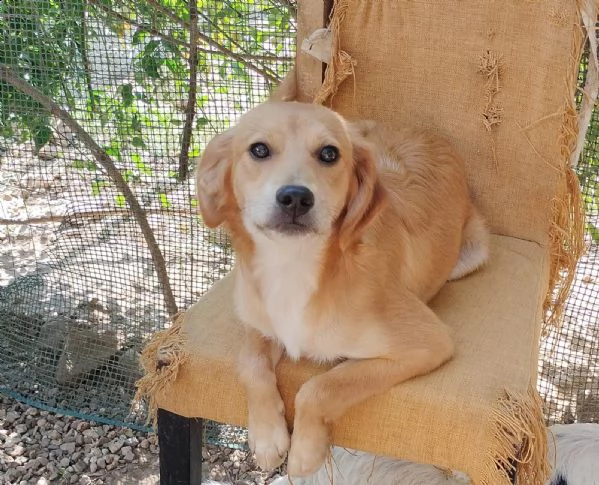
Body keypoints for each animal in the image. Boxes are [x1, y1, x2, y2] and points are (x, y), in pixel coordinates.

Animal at [195, 76, 490, 476]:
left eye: (329, 154)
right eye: (258, 149)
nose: (295, 198)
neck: (295, 266)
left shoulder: (428, 342)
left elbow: (322, 386)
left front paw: (305, 451)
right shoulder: (257, 324)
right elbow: (250, 365)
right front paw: (267, 437)